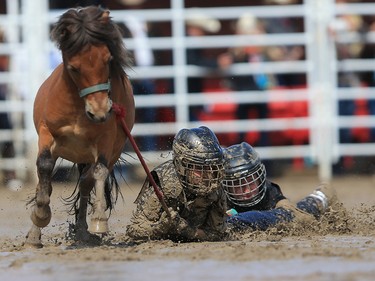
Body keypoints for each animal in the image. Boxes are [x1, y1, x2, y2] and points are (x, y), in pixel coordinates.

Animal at [25, 6, 134, 247]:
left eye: (108, 59)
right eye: (74, 68)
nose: (100, 111)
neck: (78, 107)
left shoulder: (106, 141)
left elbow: (100, 172)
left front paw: (99, 221)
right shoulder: (47, 133)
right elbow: (44, 168)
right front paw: (41, 216)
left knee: (86, 183)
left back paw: (84, 232)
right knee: (45, 183)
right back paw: (33, 235)